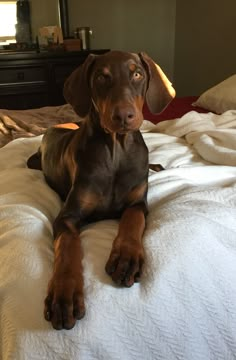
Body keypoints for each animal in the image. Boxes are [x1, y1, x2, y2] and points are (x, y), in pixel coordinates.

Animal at [27, 50, 175, 330]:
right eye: (100, 77)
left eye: (137, 74)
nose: (124, 116)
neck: (116, 150)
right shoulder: (67, 216)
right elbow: (68, 246)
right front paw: (64, 294)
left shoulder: (138, 203)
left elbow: (132, 219)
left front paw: (126, 257)